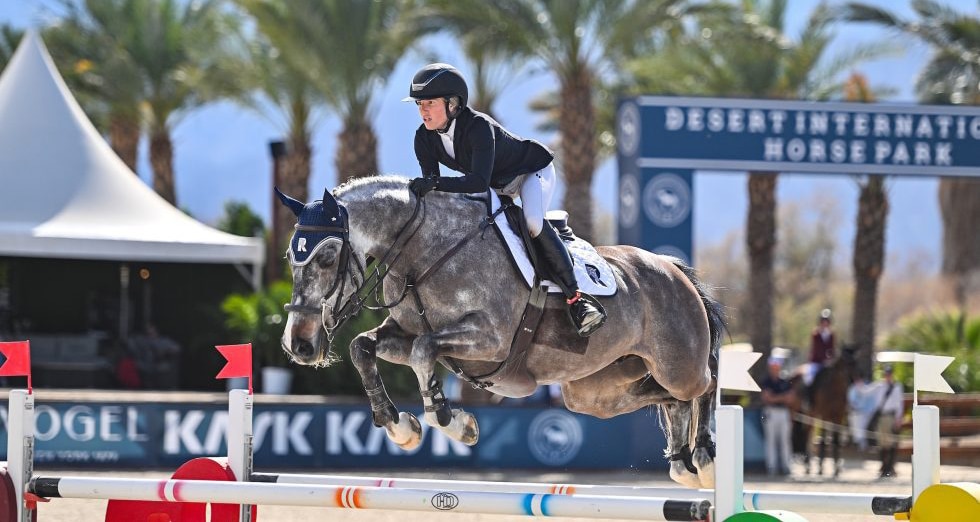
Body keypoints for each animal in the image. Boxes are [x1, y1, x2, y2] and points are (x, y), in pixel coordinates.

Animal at [277, 176, 725, 488]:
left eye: (327, 257)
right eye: (290, 257)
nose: (299, 345)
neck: (424, 251)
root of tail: (672, 268)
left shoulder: (489, 340)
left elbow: (423, 351)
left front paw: (452, 422)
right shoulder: (403, 334)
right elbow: (363, 347)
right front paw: (399, 426)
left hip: (677, 363)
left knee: (705, 381)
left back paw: (704, 462)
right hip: (594, 393)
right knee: (668, 399)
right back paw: (681, 463)